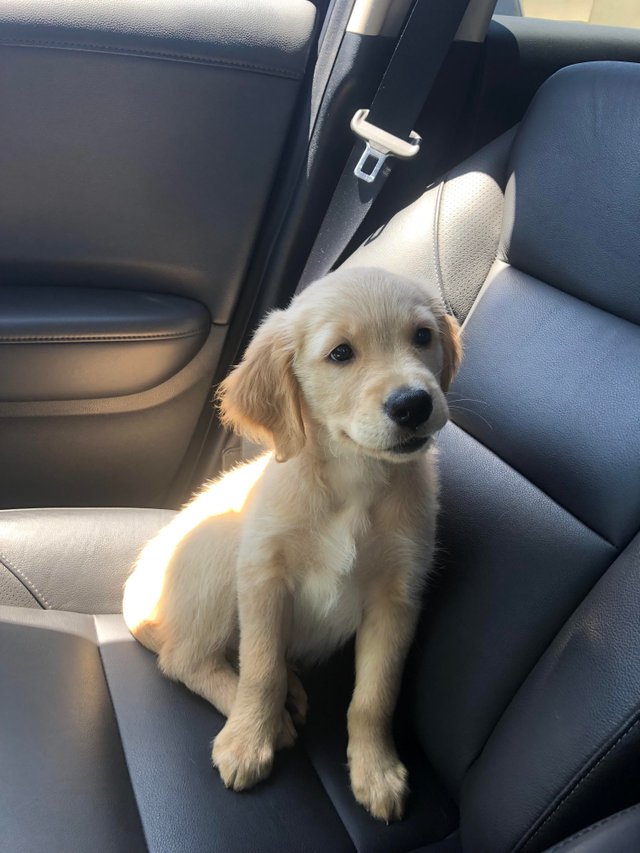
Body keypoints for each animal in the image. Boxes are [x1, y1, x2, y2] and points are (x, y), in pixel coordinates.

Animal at [122, 264, 460, 820]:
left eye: (422, 336)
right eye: (341, 353)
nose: (414, 404)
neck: (353, 481)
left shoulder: (398, 597)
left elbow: (375, 695)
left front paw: (376, 771)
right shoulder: (263, 575)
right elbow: (261, 669)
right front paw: (247, 741)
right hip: (220, 552)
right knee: (184, 659)